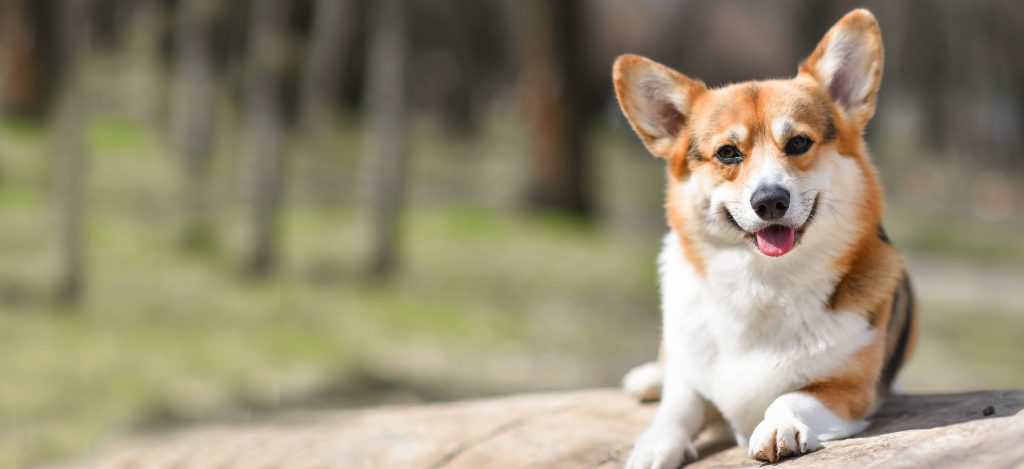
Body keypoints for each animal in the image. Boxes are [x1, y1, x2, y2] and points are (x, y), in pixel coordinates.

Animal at [610, 9, 917, 466]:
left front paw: (778, 427)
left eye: (799, 143)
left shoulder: (847, 391)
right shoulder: (689, 383)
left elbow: (791, 396)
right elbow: (678, 405)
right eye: (727, 153)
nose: (770, 201)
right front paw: (654, 442)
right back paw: (648, 377)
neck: (761, 281)